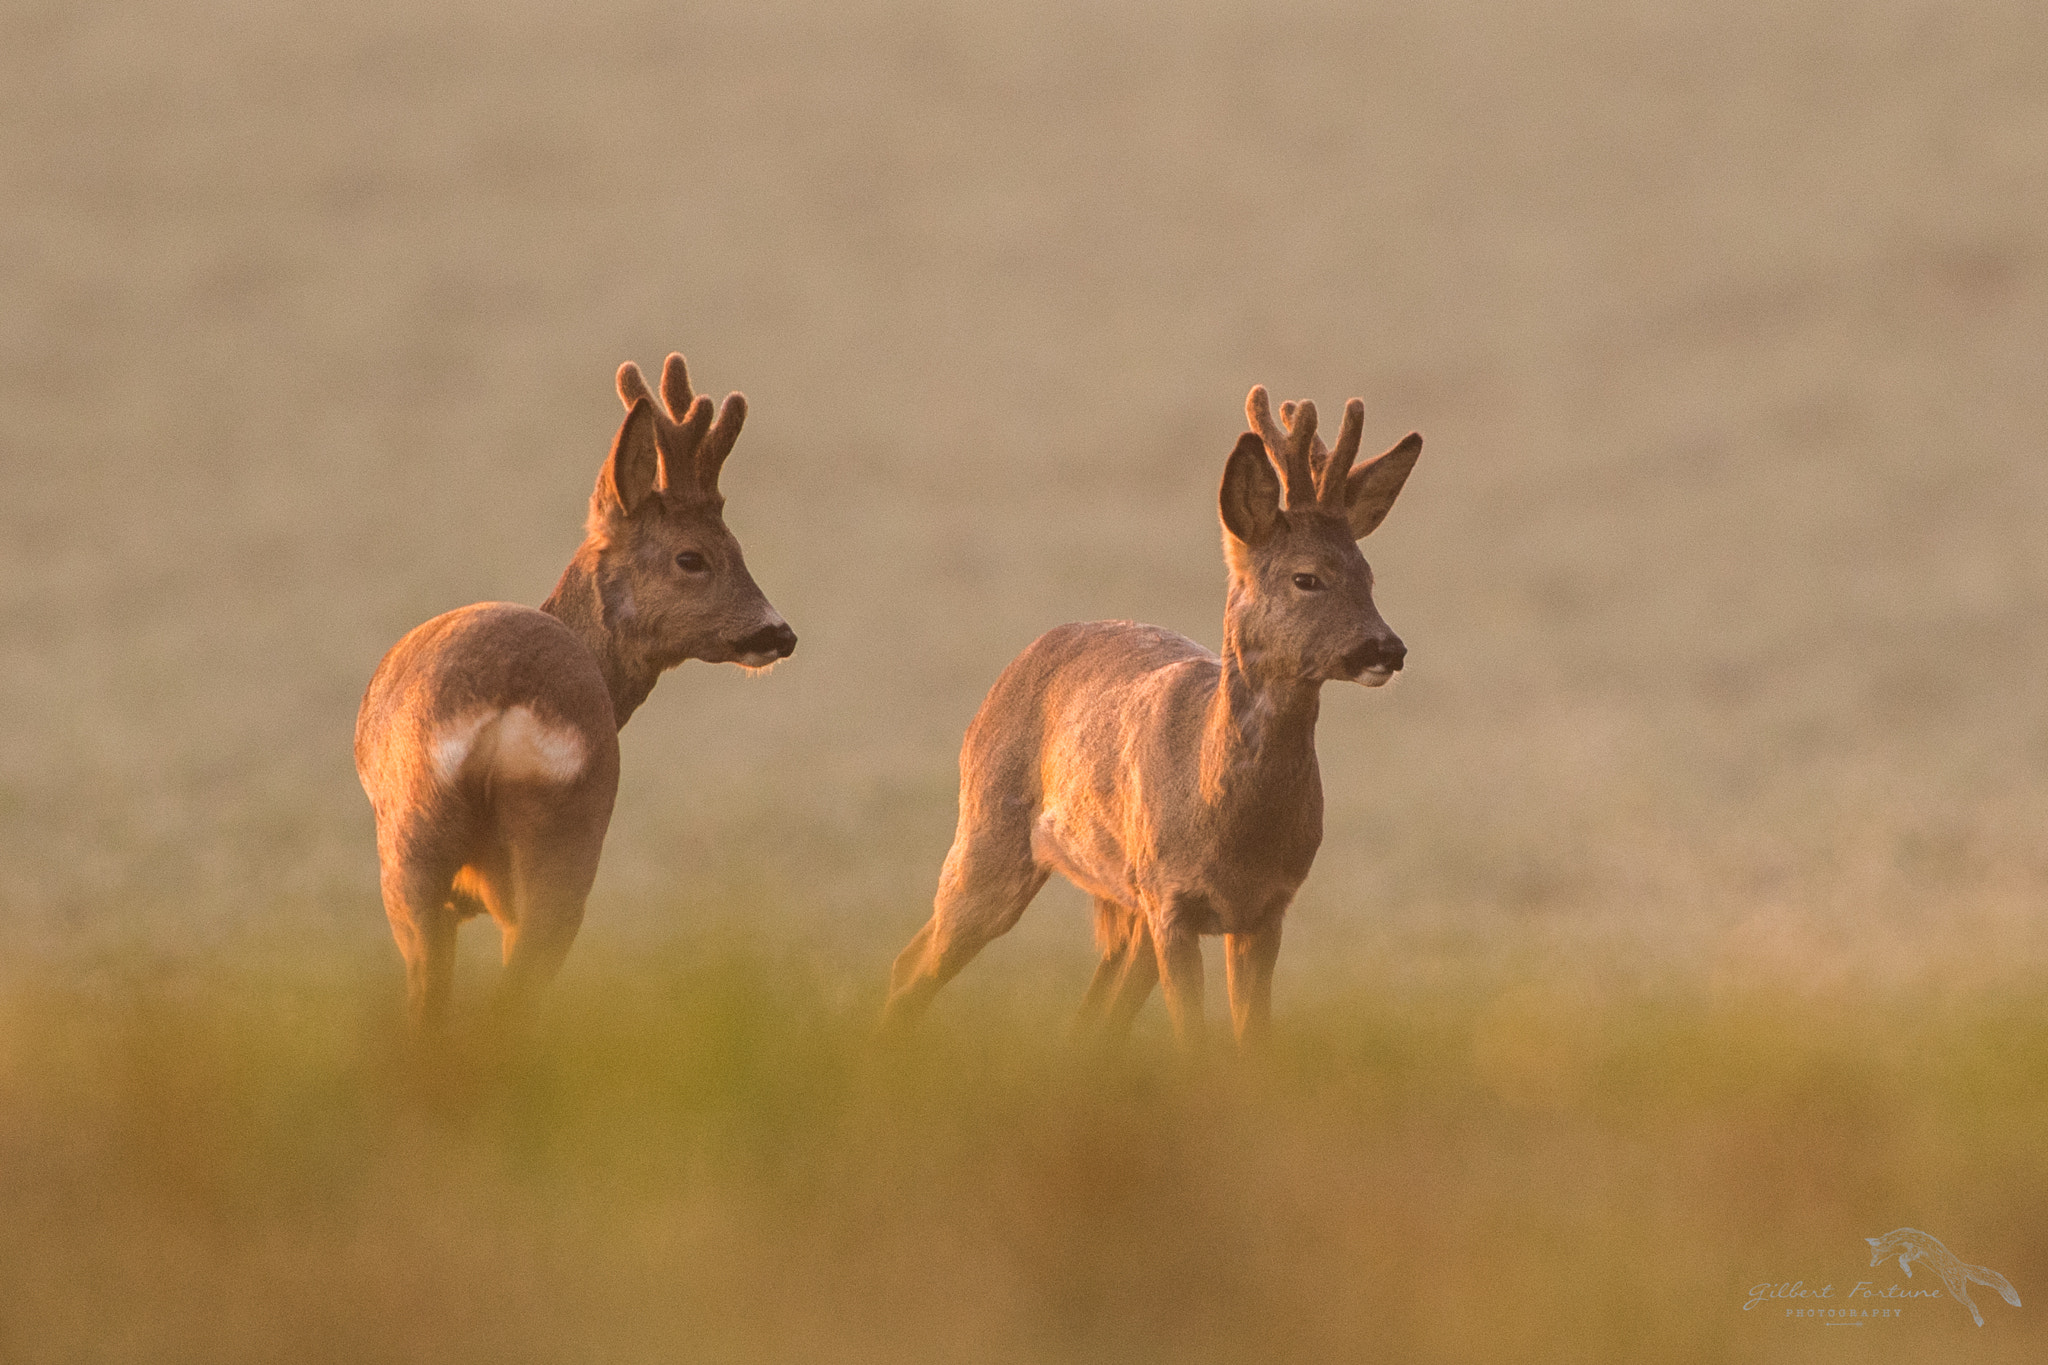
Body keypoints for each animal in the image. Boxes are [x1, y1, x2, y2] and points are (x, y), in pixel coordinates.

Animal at [880, 388, 1425, 1055]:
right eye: (1306, 577)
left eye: (1369, 575)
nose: (1387, 649)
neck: (1228, 821)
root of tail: (1021, 660)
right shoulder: (1172, 899)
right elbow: (1192, 1039)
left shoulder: (1265, 908)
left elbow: (1253, 1041)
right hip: (989, 830)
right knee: (912, 965)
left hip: (1121, 900)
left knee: (1092, 1013)